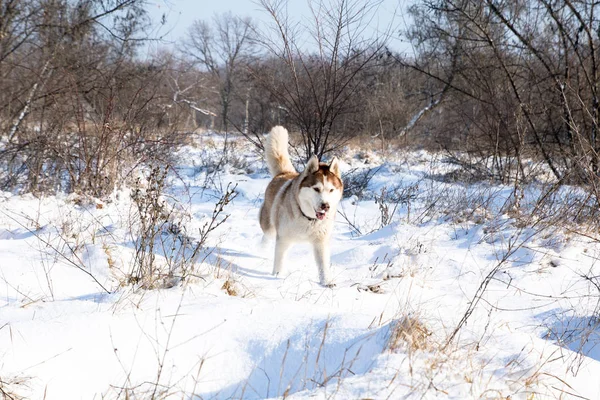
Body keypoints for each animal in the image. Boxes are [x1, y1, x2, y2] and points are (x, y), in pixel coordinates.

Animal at [260, 126, 344, 286]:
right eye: (316, 189)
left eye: (331, 190)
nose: (325, 206)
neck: (308, 219)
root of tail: (285, 173)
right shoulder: (283, 238)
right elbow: (279, 261)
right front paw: (277, 277)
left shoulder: (320, 242)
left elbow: (323, 265)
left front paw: (326, 282)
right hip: (270, 226)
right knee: (267, 236)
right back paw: (262, 249)